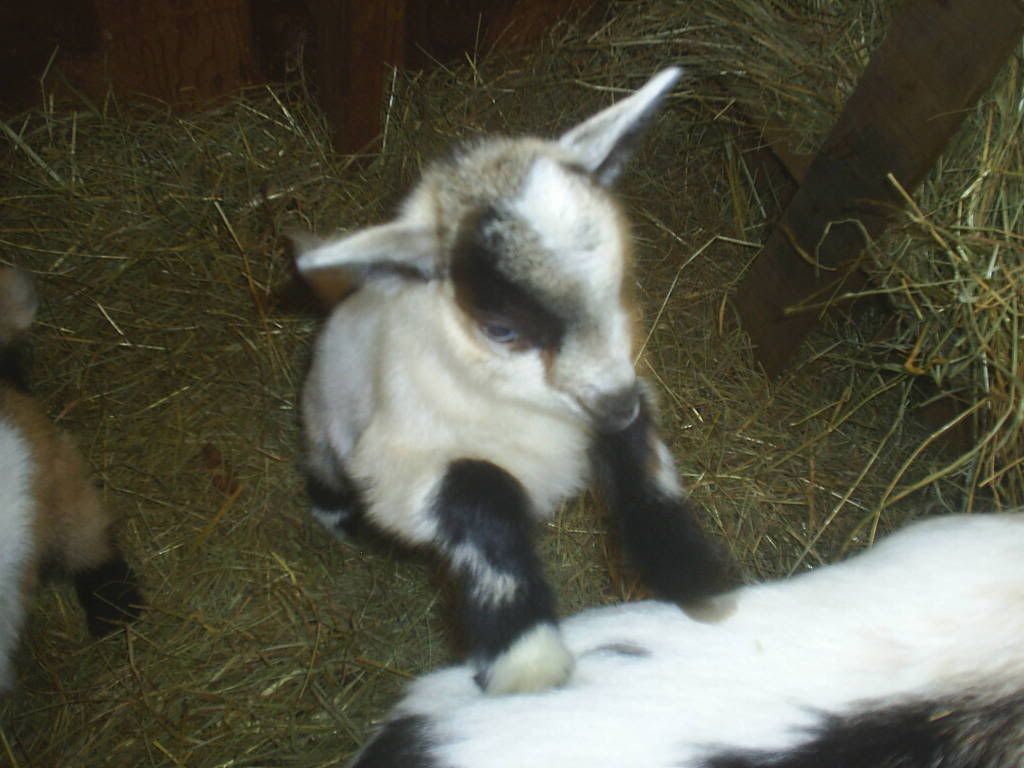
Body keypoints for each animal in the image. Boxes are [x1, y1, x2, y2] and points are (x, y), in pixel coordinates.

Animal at [294, 68, 733, 694]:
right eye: (501, 328)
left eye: (620, 281)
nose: (618, 405)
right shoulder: (402, 469)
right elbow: (479, 490)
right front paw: (528, 656)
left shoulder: (616, 388)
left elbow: (643, 461)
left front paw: (690, 572)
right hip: (325, 419)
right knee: (322, 460)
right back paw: (332, 513)